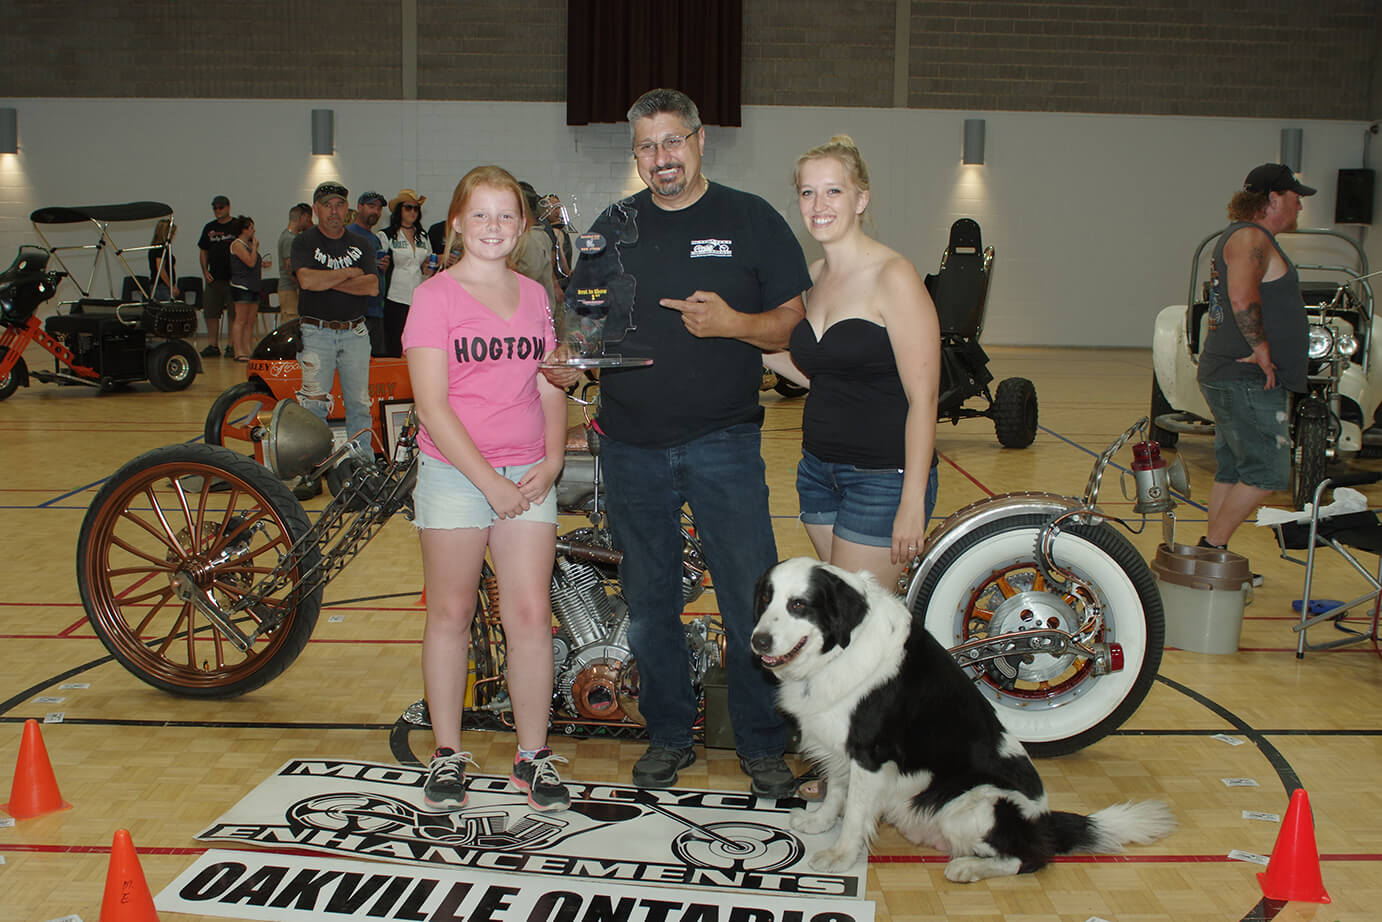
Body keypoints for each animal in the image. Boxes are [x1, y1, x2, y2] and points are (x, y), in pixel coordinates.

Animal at [751, 558, 1171, 884]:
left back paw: (968, 868)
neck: (840, 648)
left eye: (799, 604)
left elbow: (855, 811)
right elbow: (838, 790)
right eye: (766, 599)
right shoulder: (841, 744)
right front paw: (821, 822)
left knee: (1029, 858)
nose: (759, 641)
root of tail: (1044, 821)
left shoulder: (870, 754)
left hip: (977, 803)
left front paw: (840, 855)